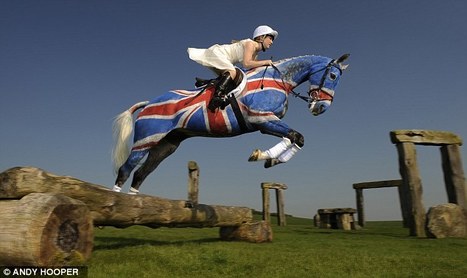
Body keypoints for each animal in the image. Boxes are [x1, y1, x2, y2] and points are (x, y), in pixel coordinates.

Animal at [111, 53, 350, 193]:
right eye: (332, 76)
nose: (321, 108)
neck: (278, 79)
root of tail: (149, 103)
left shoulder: (266, 125)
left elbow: (296, 138)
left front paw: (270, 159)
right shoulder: (261, 119)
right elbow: (295, 136)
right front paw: (262, 156)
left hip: (166, 145)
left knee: (141, 174)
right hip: (145, 140)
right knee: (126, 169)